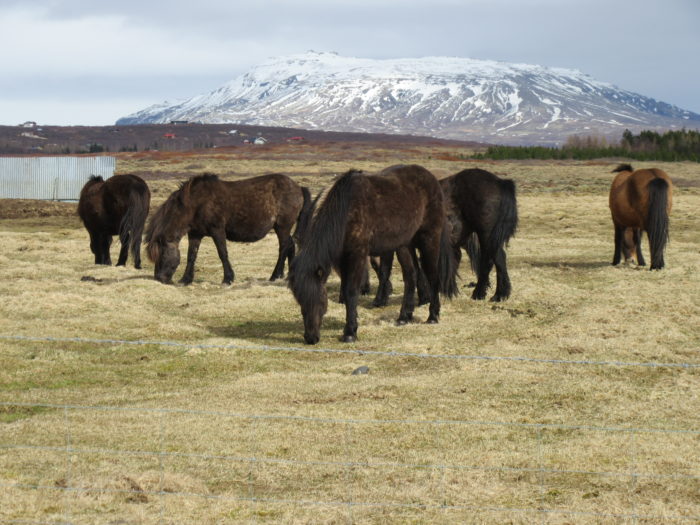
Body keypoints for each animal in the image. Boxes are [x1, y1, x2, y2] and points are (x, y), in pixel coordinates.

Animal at [146, 173, 311, 284]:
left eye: (161, 254)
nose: (159, 278)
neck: (196, 204)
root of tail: (298, 188)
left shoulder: (217, 230)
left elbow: (222, 253)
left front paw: (228, 278)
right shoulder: (195, 234)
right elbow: (191, 256)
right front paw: (186, 279)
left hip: (282, 227)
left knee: (284, 248)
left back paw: (275, 275)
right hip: (282, 228)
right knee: (290, 245)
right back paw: (288, 275)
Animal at [288, 165, 458, 345]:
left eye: (320, 298)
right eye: (299, 300)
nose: (310, 338)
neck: (346, 209)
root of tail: (433, 180)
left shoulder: (358, 253)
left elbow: (351, 291)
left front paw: (350, 333)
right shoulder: (343, 258)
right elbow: (346, 289)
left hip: (429, 239)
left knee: (433, 276)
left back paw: (433, 316)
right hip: (405, 245)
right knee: (411, 276)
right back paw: (404, 317)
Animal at [372, 168, 518, 304]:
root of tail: (500, 182)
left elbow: (387, 270)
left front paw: (379, 300)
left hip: (486, 235)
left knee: (494, 259)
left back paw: (491, 294)